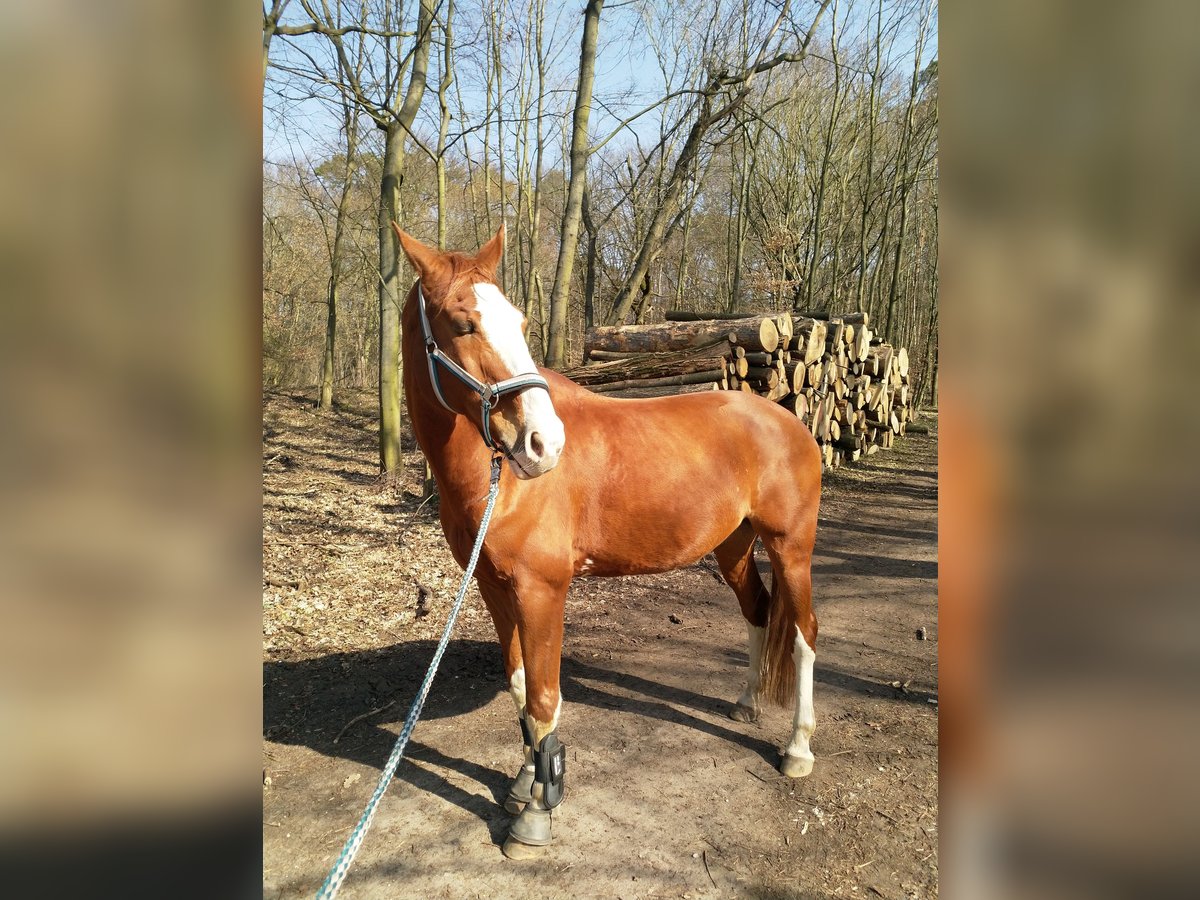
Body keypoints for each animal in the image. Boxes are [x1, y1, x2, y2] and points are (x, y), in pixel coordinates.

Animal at [398, 225, 820, 859]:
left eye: (519, 321)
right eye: (462, 324)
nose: (542, 443)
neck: (495, 481)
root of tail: (789, 421)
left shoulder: (543, 591)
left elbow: (545, 699)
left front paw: (536, 816)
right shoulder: (495, 590)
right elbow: (521, 689)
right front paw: (525, 782)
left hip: (792, 548)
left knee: (802, 634)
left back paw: (797, 750)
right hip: (733, 547)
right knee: (758, 611)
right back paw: (746, 704)